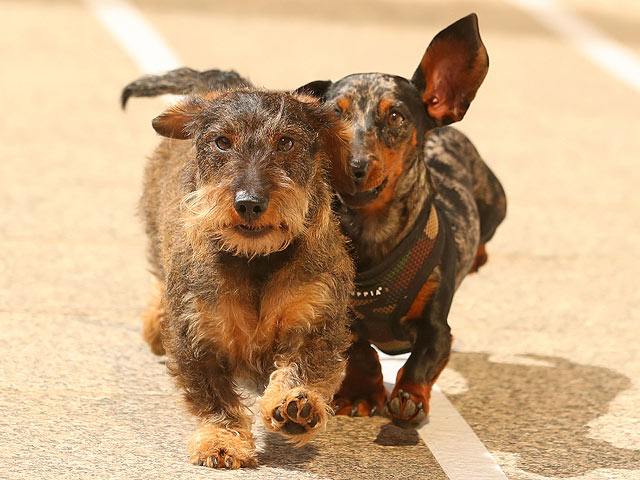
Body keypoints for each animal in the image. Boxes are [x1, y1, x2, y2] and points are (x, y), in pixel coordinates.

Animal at [122, 14, 508, 428]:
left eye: (396, 116)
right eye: (336, 114)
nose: (355, 166)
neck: (372, 238)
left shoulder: (436, 328)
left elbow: (420, 362)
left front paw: (408, 397)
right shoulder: (340, 317)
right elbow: (361, 354)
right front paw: (360, 393)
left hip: (496, 204)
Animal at [136, 87, 356, 468]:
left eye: (286, 142)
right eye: (222, 141)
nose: (249, 203)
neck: (256, 259)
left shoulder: (319, 315)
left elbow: (307, 365)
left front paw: (295, 405)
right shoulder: (195, 333)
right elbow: (214, 397)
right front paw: (222, 439)